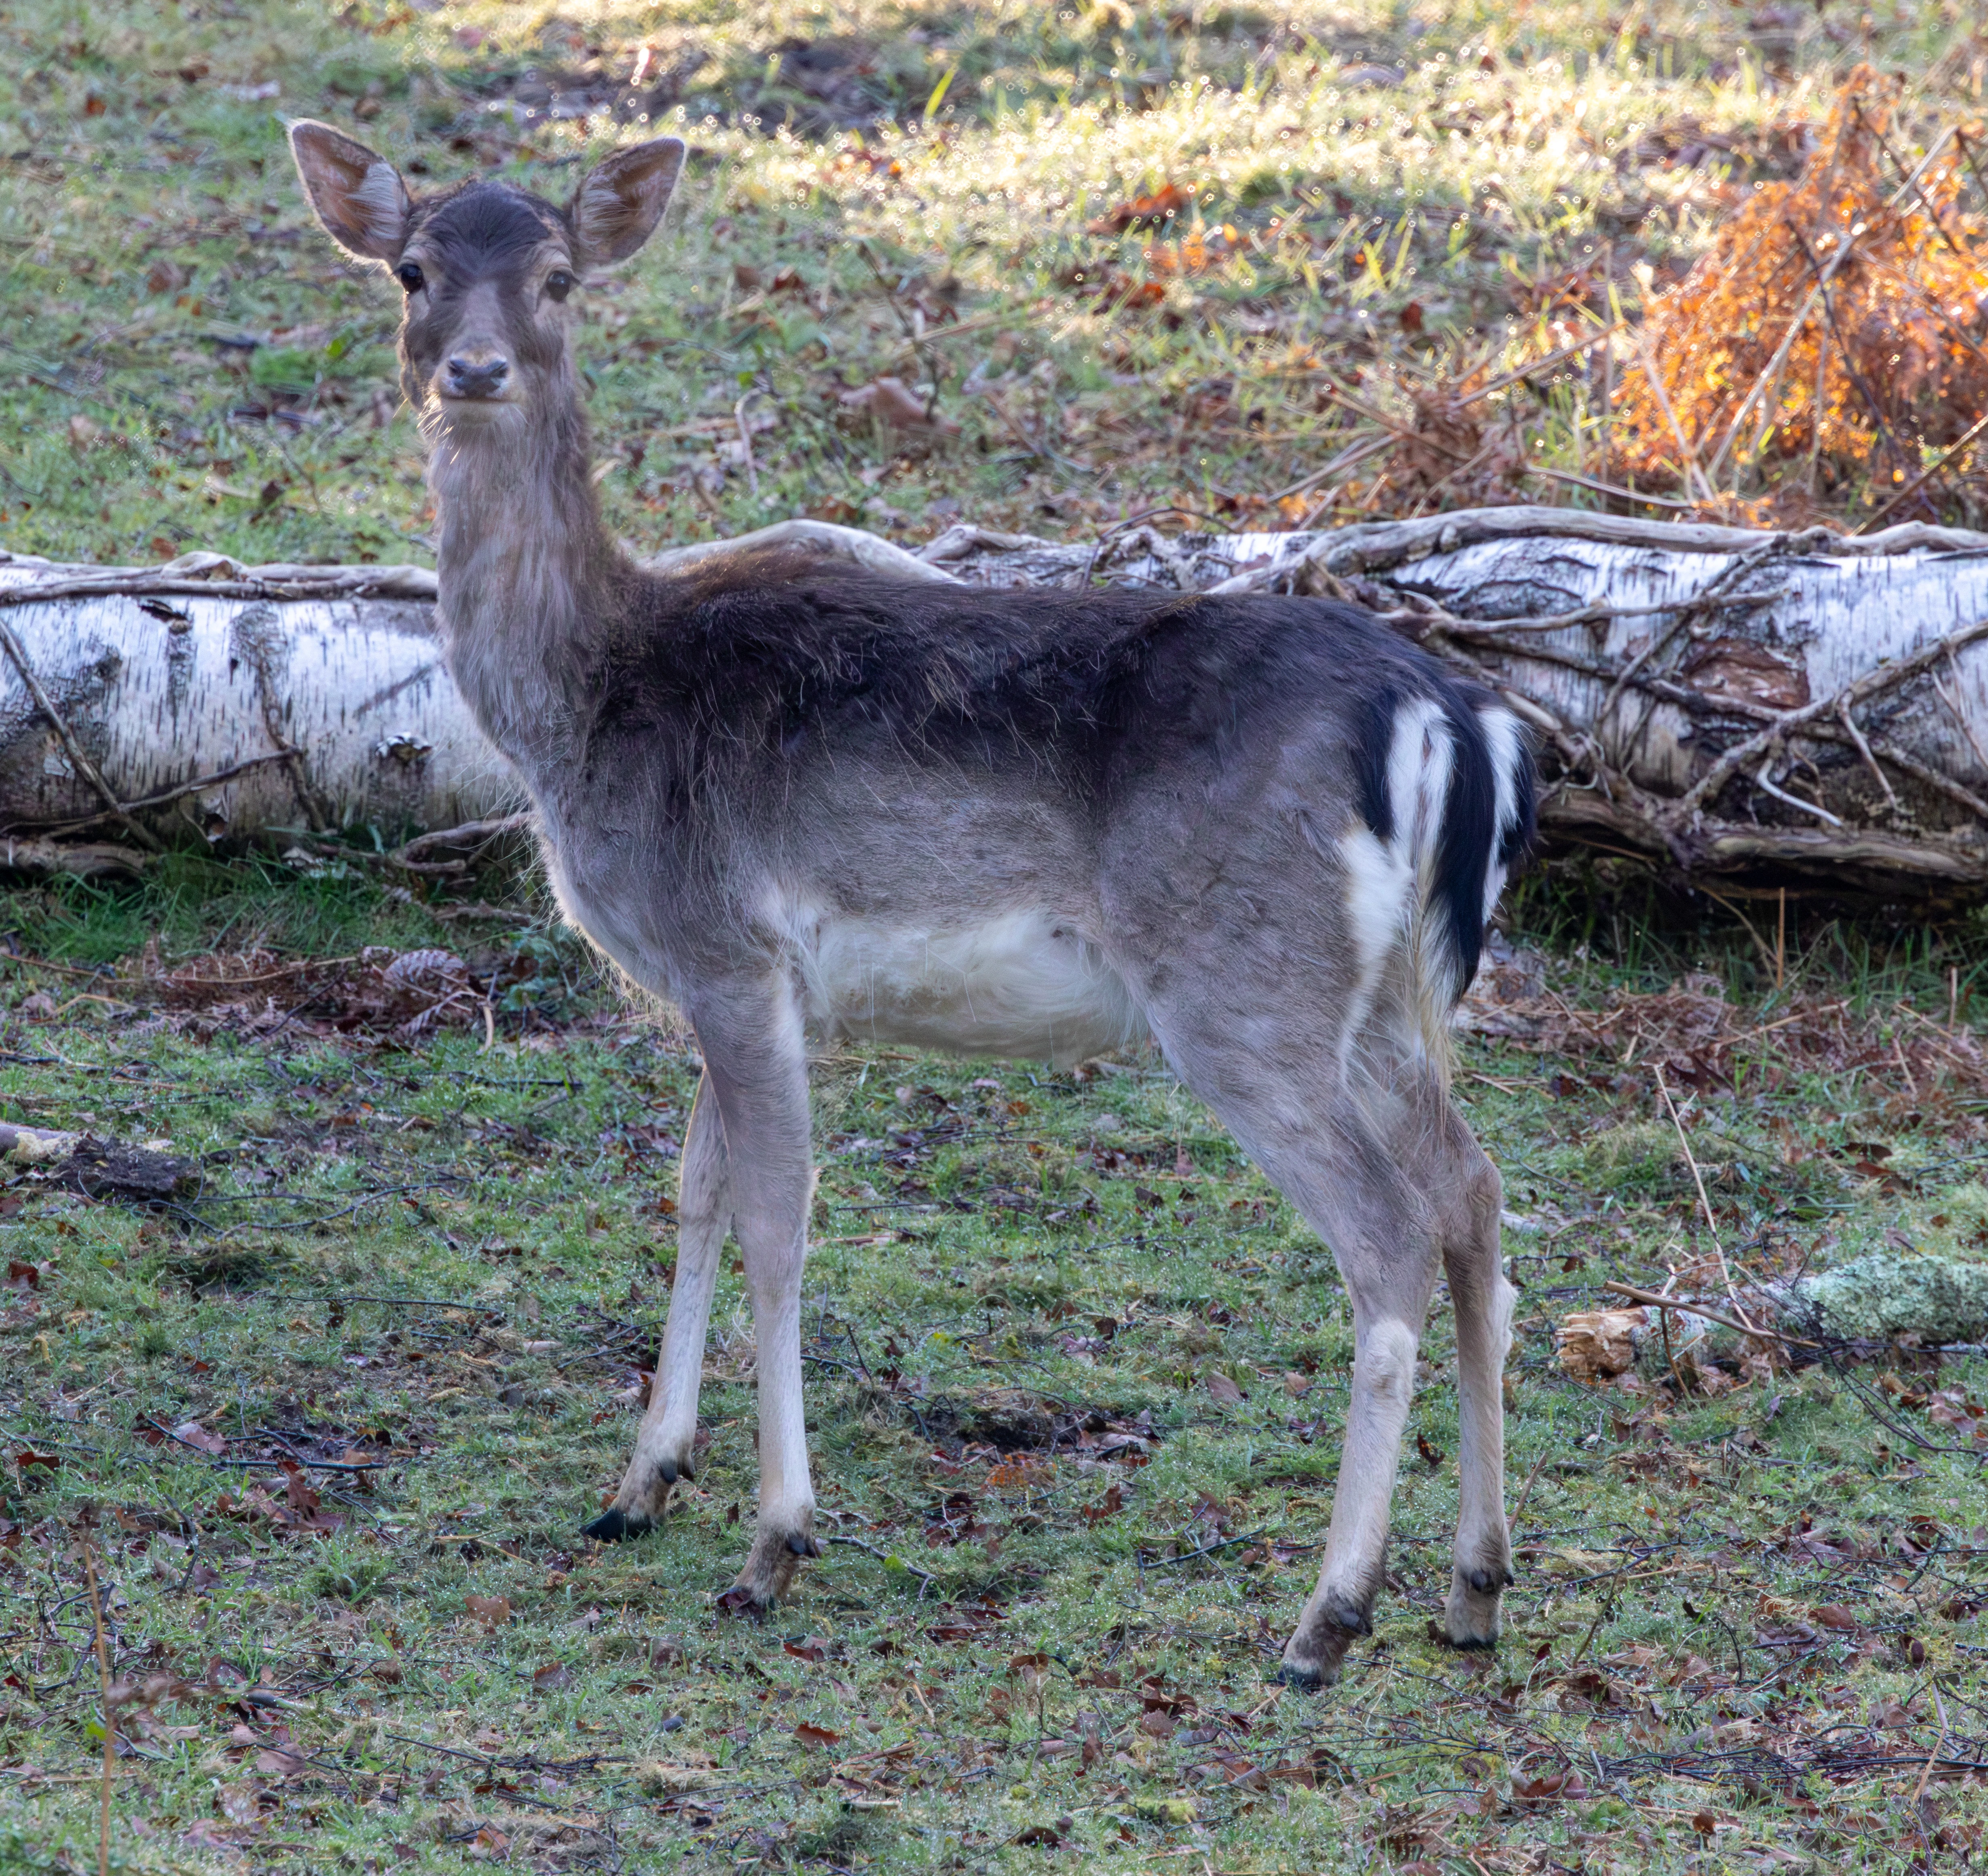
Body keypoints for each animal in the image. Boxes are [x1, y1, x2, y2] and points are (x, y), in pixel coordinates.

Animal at [288, 121, 1535, 1687]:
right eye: (412, 269)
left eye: (560, 277)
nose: (471, 368)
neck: (586, 700)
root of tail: (1450, 719)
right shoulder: (735, 982)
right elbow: (695, 1193)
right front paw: (640, 1482)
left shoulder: (729, 945)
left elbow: (776, 1218)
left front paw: (772, 1544)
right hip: (1384, 1002)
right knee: (1473, 1198)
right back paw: (1474, 1583)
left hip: (1244, 987)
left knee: (1387, 1241)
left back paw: (1326, 1617)